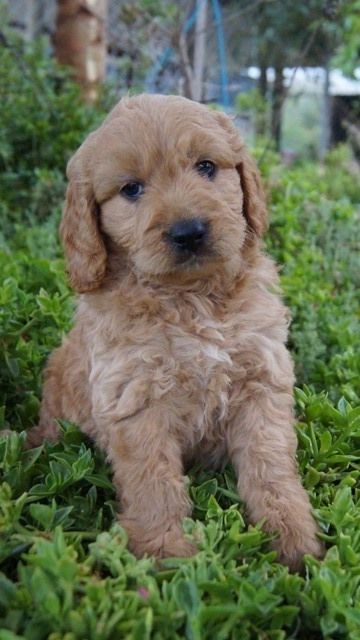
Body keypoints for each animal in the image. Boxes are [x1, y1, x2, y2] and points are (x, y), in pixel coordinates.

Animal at [27, 92, 320, 568]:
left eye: (206, 167)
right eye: (131, 189)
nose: (189, 231)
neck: (192, 299)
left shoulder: (261, 379)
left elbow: (270, 465)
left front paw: (294, 541)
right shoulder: (135, 396)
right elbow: (153, 481)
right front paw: (166, 555)